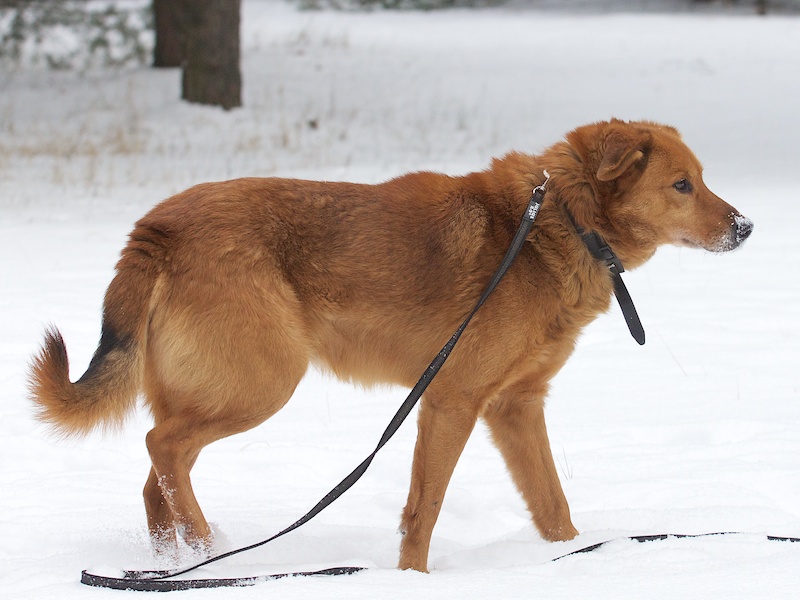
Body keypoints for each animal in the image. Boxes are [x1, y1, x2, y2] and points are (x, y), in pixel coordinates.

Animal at [29, 119, 753, 572]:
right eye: (681, 185)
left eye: (702, 178)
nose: (746, 227)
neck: (557, 221)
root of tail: (159, 223)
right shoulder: (452, 401)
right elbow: (424, 509)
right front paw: (412, 578)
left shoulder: (515, 407)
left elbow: (553, 505)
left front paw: (567, 561)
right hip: (262, 384)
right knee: (164, 449)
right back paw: (208, 551)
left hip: (215, 390)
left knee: (158, 480)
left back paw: (178, 564)